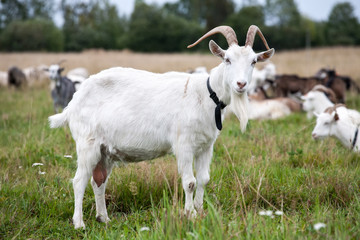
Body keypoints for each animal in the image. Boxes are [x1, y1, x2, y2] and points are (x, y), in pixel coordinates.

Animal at [47, 25, 272, 230]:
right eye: (227, 59)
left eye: (253, 61)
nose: (241, 84)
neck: (206, 94)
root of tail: (73, 103)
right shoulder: (184, 145)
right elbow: (190, 182)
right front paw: (189, 215)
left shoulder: (206, 146)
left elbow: (203, 179)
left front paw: (200, 212)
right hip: (87, 144)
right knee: (79, 181)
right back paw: (79, 224)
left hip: (105, 151)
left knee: (98, 181)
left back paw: (104, 218)